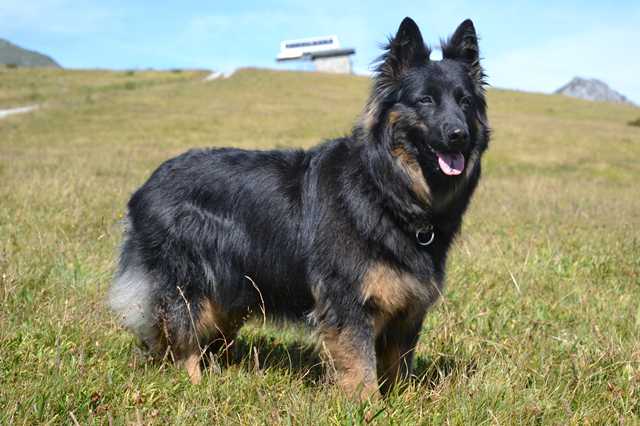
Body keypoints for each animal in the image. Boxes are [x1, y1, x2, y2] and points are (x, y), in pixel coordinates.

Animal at [109, 17, 489, 399]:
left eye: (465, 102)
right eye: (425, 100)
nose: (458, 135)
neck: (384, 187)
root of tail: (147, 185)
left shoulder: (407, 308)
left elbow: (399, 364)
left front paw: (402, 401)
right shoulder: (347, 300)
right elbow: (360, 364)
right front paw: (367, 404)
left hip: (232, 294)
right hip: (191, 287)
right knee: (183, 343)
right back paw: (195, 386)